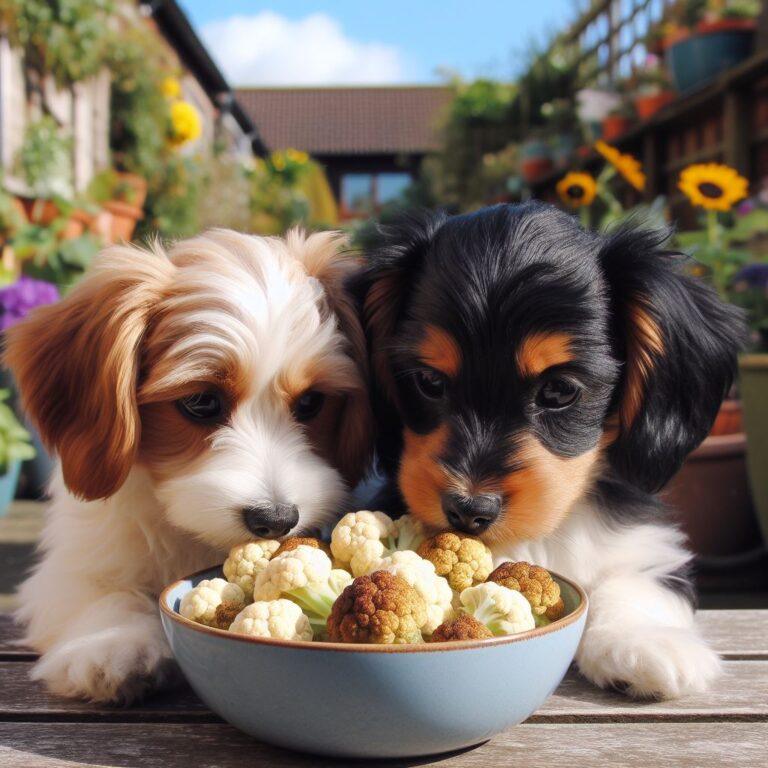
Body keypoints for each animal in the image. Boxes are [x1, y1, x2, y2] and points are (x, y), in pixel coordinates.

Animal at [5, 228, 372, 704]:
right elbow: (102, 592)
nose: (276, 519)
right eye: (200, 401)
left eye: (311, 402)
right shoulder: (73, 564)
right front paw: (112, 644)